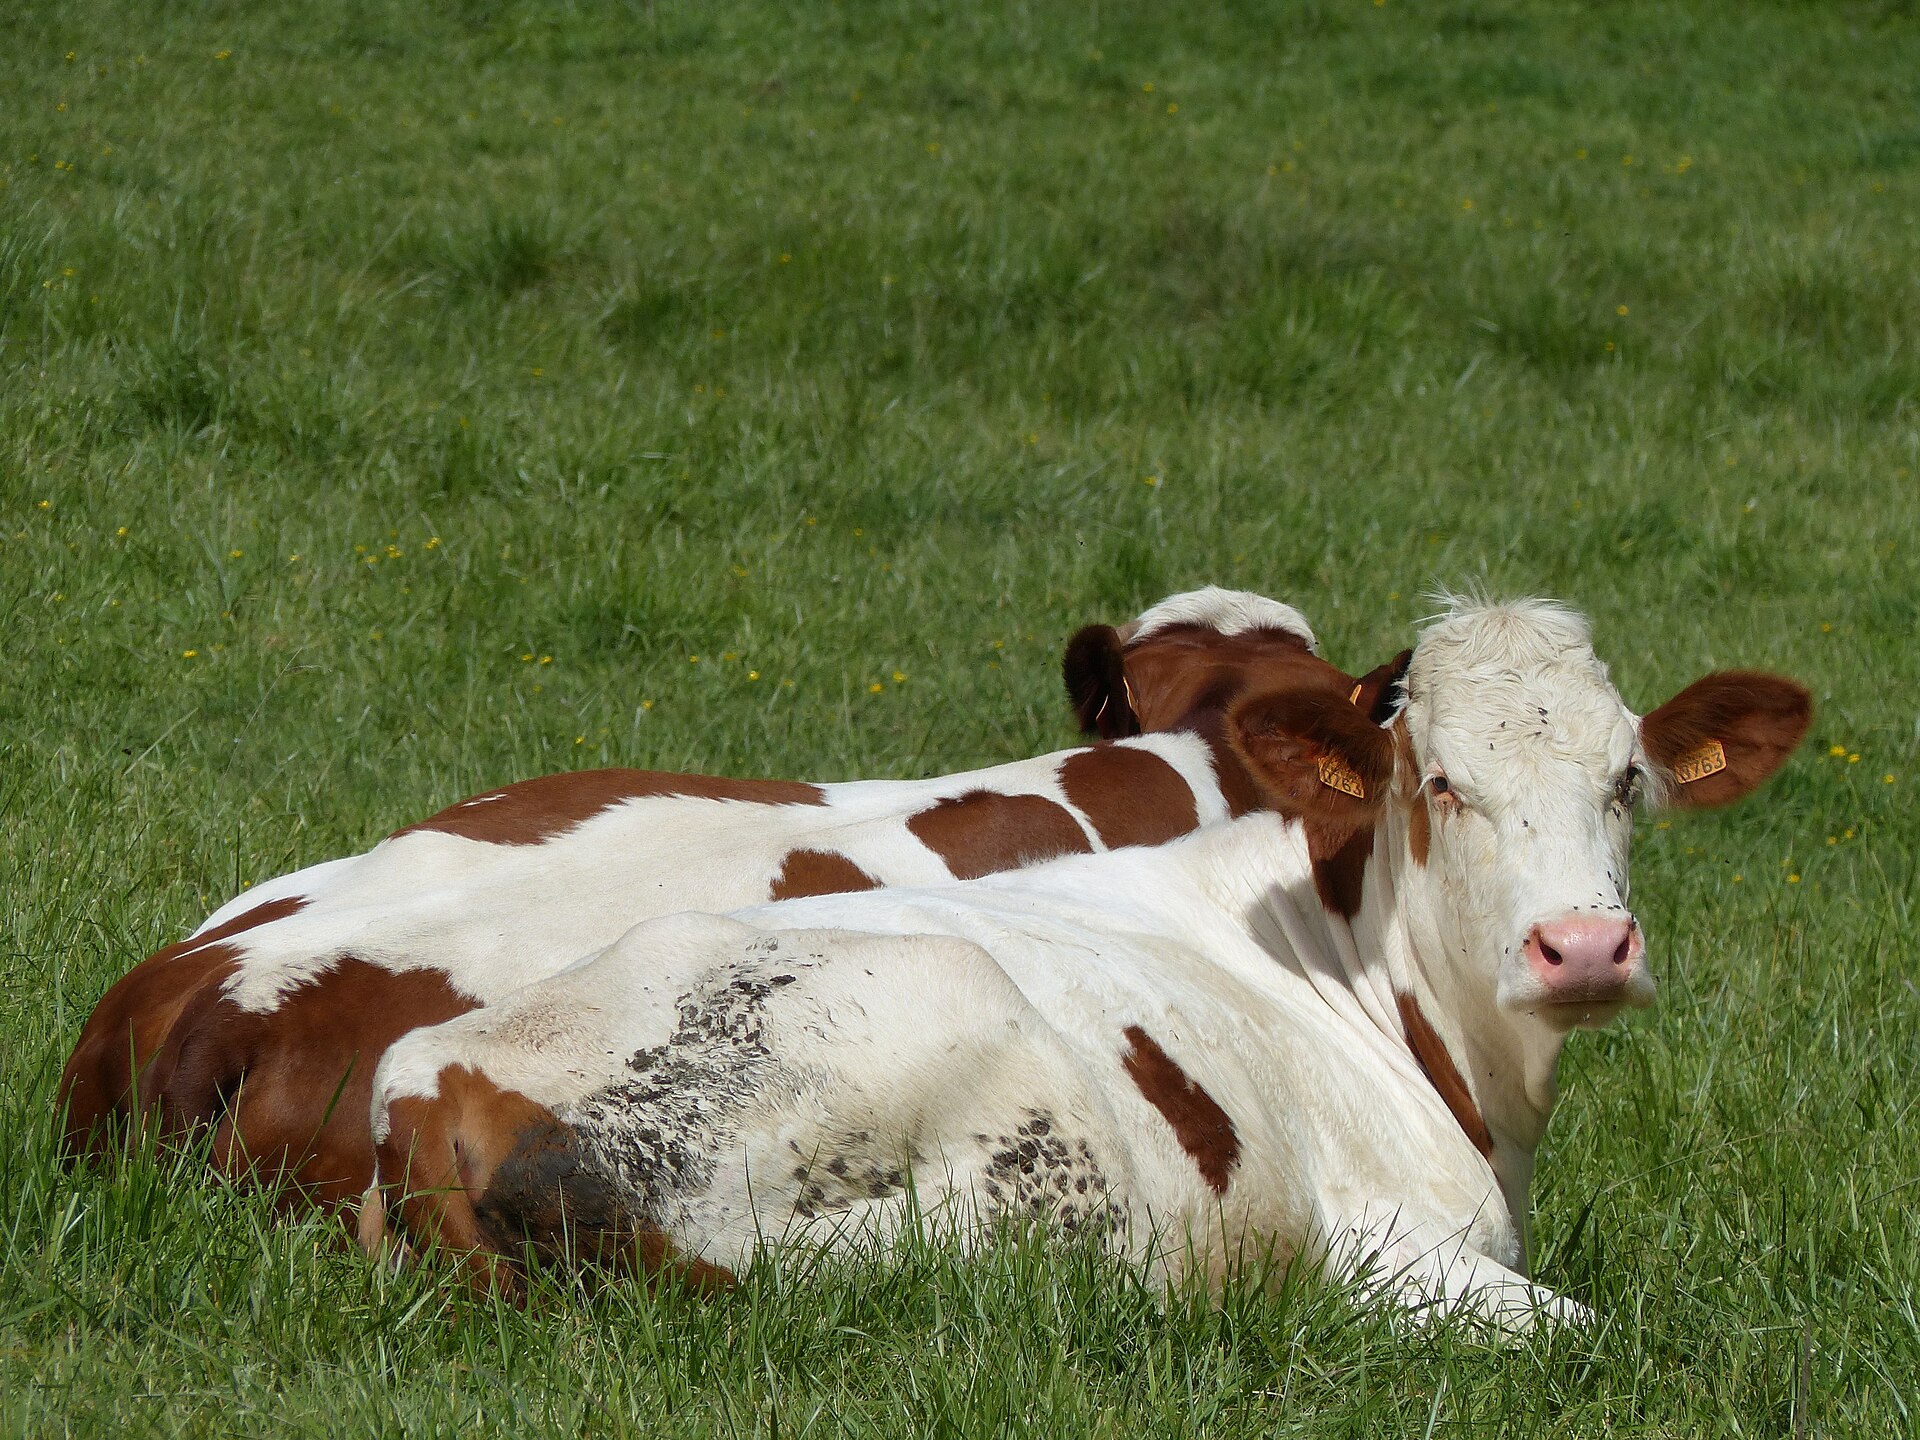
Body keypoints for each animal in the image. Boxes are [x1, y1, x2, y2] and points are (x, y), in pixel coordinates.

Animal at [358, 597, 1811, 1329]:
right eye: (1440, 782)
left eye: (1628, 781)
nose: (1585, 948)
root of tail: (446, 1077)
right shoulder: (1383, 1252)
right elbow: (1593, 1333)